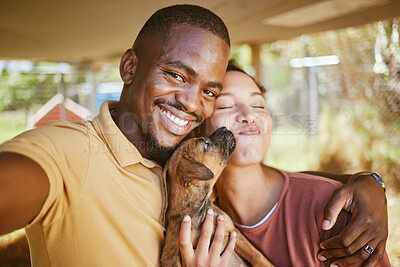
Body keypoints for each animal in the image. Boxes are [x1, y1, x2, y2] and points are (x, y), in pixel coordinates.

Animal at [161, 127, 274, 267]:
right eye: (206, 145)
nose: (224, 128)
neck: (199, 212)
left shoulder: (233, 232)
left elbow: (257, 256)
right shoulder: (170, 255)